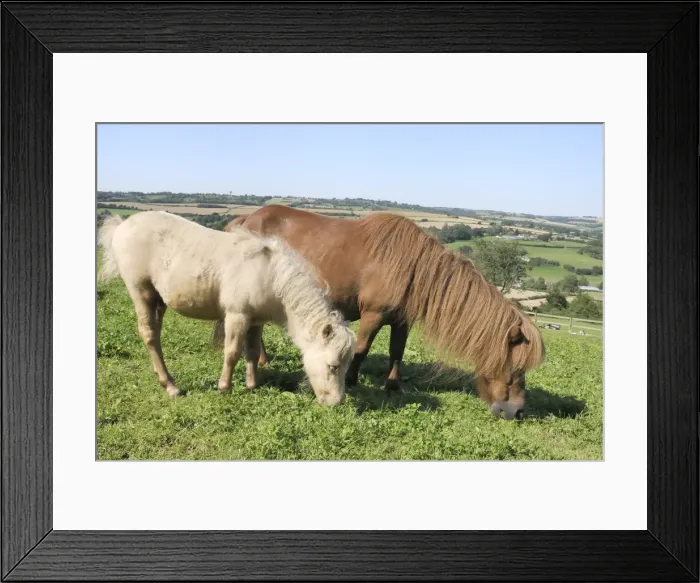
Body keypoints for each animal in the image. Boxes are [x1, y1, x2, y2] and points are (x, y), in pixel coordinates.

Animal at [98, 211, 356, 405]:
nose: (337, 402)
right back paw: (170, 386)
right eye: (333, 366)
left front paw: (252, 385)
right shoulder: (236, 316)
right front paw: (224, 387)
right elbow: (231, 352)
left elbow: (252, 352)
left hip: (159, 301)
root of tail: (122, 226)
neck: (269, 273)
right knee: (149, 335)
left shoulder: (256, 321)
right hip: (141, 293)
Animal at [215, 205, 545, 420]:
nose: (517, 412)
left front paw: (393, 386)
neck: (412, 267)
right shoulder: (372, 316)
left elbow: (396, 352)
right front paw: (351, 380)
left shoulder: (402, 321)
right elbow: (362, 348)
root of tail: (247, 217)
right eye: (516, 368)